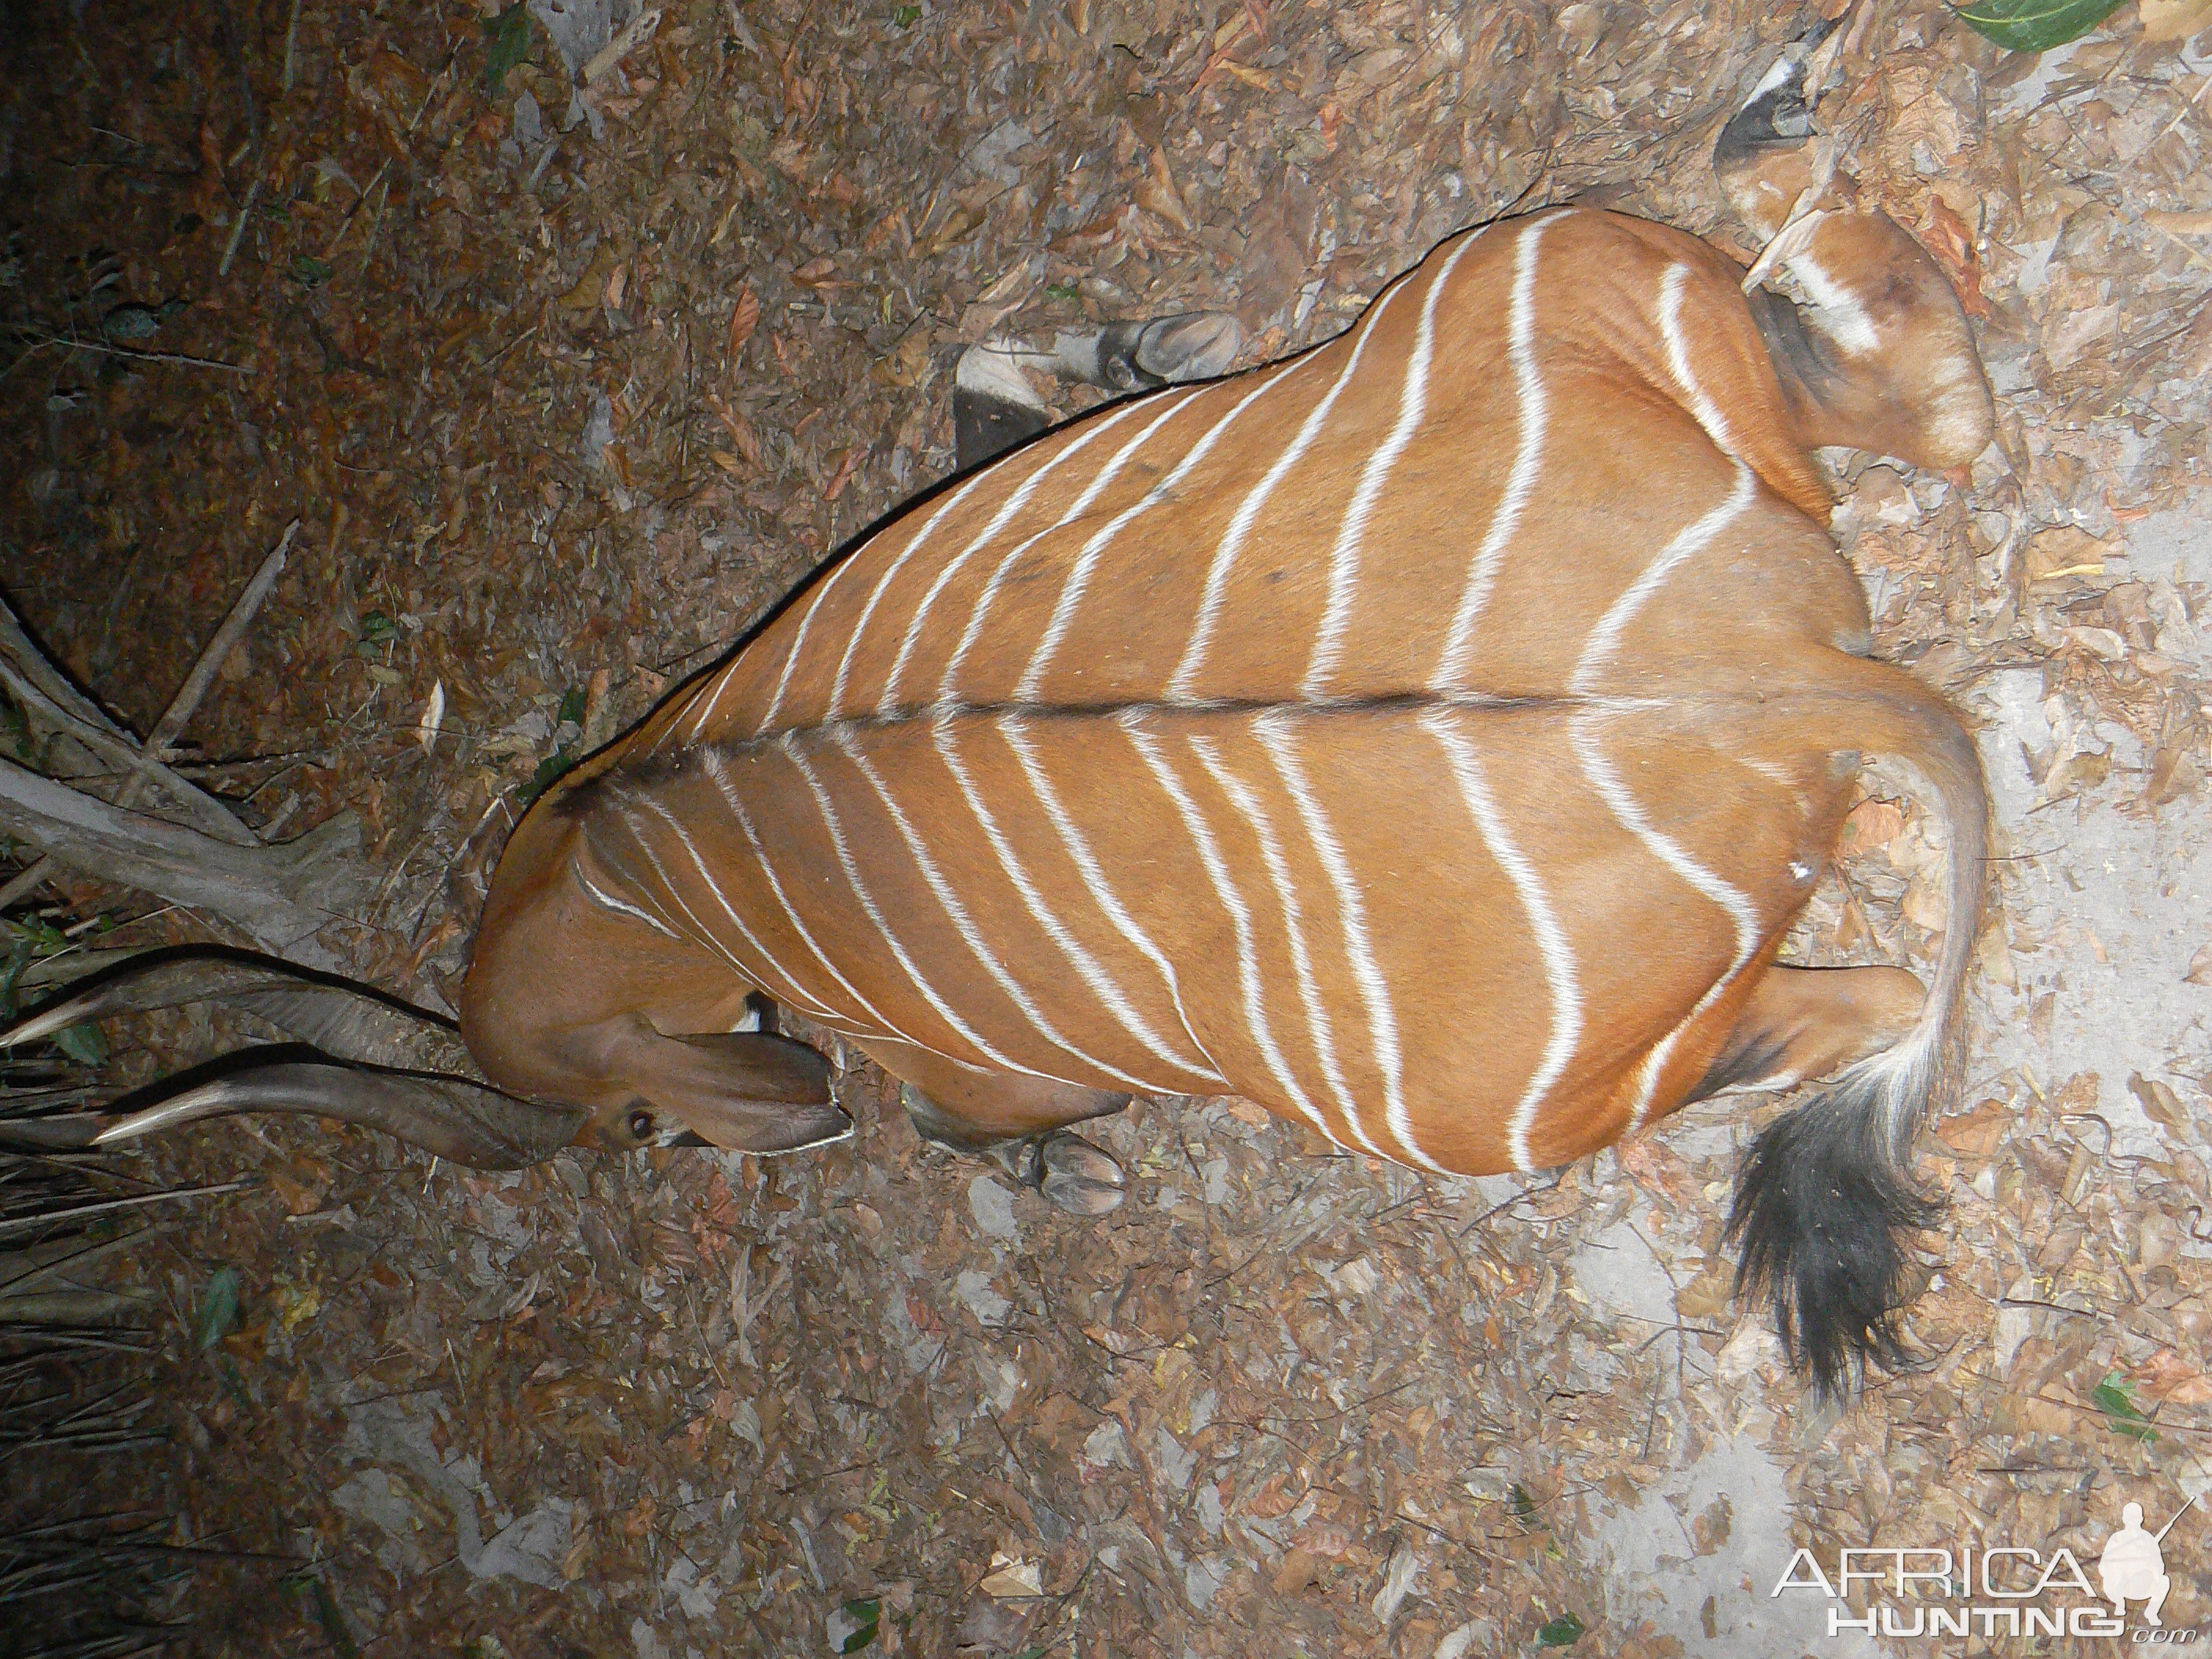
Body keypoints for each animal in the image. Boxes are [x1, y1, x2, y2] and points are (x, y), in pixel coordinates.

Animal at [0, 35, 2008, 1389]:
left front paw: (1069, 1175)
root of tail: (1781, 666)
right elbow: (986, 365)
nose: (703, 1147)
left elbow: (949, 1130)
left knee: (1863, 1000)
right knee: (1916, 394)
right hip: (1558, 265)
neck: (646, 826)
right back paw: (1782, 106)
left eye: (647, 1135)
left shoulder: (978, 1070)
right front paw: (1153, 349)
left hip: (1476, 1116)